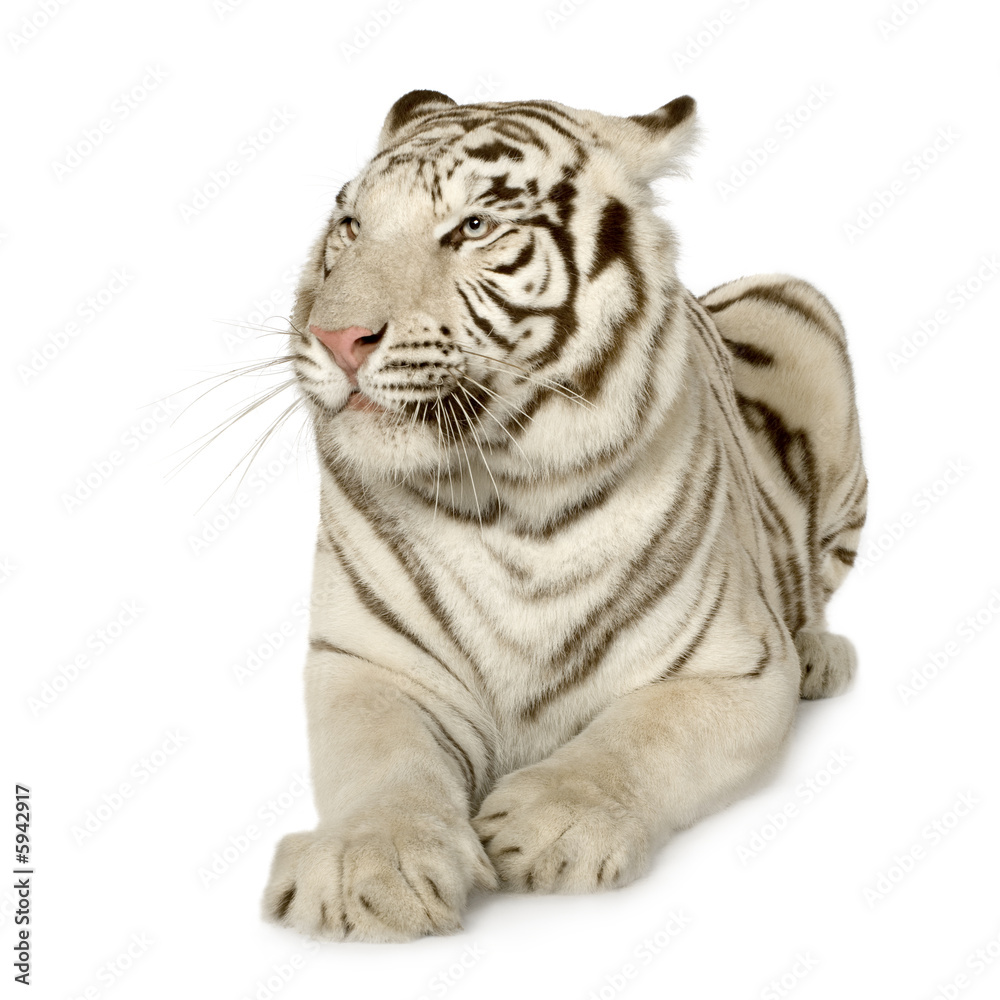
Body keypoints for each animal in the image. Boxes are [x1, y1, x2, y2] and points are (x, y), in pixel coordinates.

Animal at [260, 89, 867, 943]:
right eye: (350, 225)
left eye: (473, 227)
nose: (336, 337)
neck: (503, 492)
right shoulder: (369, 660)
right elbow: (384, 762)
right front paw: (366, 872)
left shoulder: (735, 665)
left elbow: (642, 735)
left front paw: (552, 826)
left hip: (803, 308)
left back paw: (820, 654)